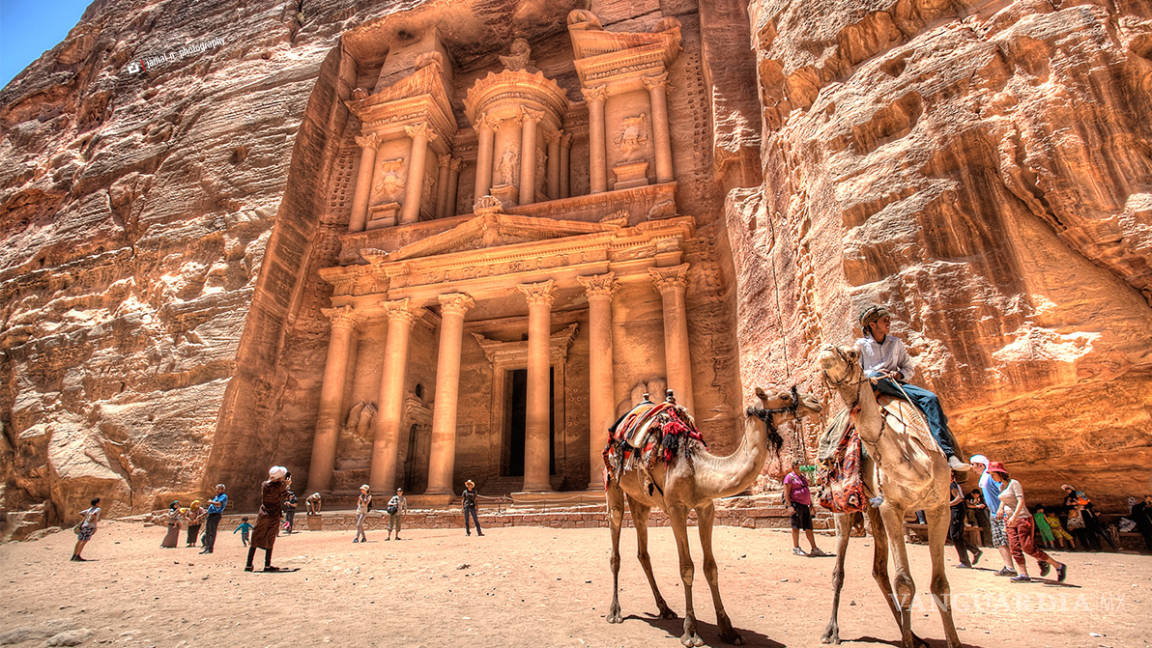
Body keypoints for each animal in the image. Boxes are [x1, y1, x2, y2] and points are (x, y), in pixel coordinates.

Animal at [608, 382, 824, 641]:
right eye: (782, 395)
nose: (815, 402)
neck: (698, 468)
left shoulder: (705, 507)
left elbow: (710, 567)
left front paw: (728, 629)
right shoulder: (676, 508)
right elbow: (686, 567)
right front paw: (691, 631)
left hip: (640, 499)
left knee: (643, 552)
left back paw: (665, 608)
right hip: (612, 482)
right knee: (615, 543)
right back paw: (615, 612)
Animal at [820, 343, 963, 645]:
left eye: (853, 354)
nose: (826, 350)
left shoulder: (939, 507)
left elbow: (940, 584)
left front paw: (953, 642)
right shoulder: (891, 506)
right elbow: (905, 582)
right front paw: (909, 642)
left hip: (873, 509)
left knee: (878, 568)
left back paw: (914, 635)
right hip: (844, 508)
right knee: (840, 570)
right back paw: (831, 631)